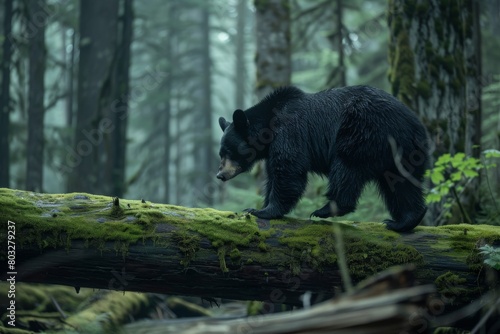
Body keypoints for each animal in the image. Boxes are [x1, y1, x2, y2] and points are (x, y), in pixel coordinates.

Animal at [217, 86, 428, 232]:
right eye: (221, 153)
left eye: (228, 151)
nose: (220, 175)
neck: (268, 127)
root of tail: (413, 123)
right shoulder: (272, 149)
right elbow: (275, 173)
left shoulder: (290, 132)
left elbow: (288, 169)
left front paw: (262, 210)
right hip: (402, 151)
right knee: (401, 182)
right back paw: (404, 221)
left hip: (361, 133)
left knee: (346, 168)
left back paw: (325, 210)